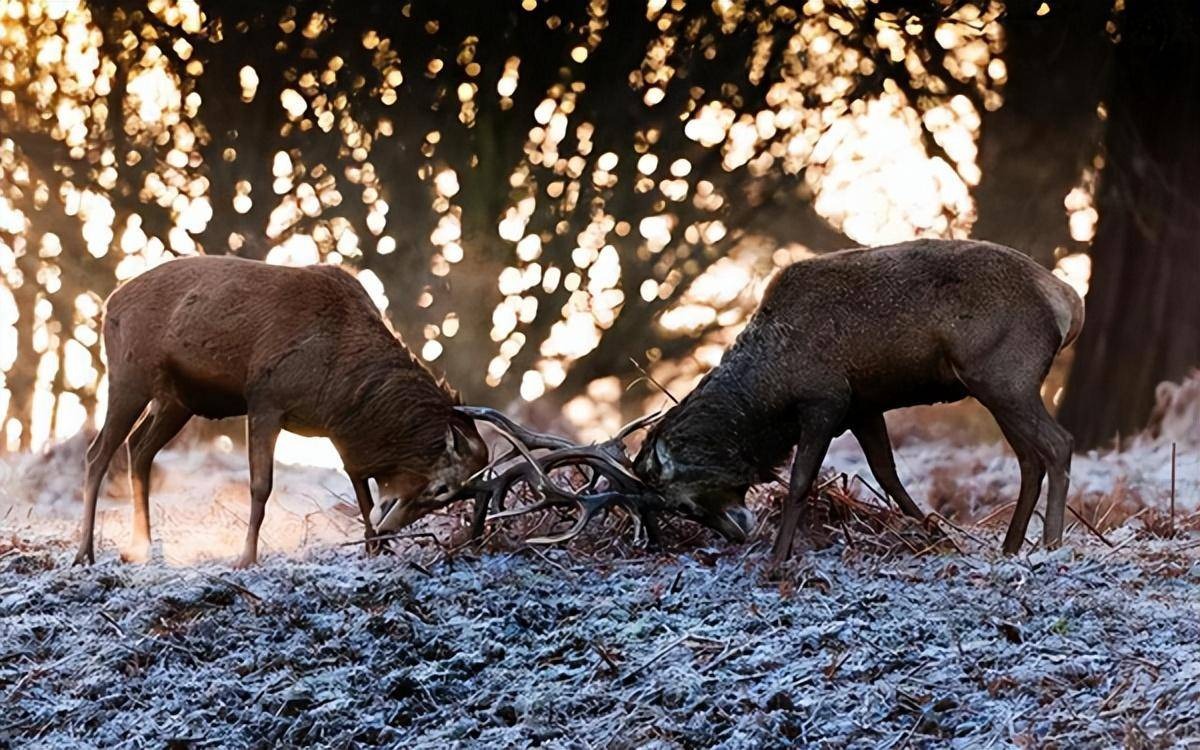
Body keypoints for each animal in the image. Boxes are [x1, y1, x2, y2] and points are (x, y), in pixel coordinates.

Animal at [73, 254, 487, 564]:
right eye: (442, 488)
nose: (389, 529)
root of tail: (109, 303)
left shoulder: (337, 428)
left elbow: (360, 486)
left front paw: (374, 548)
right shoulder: (266, 400)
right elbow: (261, 486)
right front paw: (246, 558)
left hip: (177, 401)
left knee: (139, 448)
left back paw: (140, 547)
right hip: (129, 376)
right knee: (98, 453)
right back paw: (85, 553)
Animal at [628, 240, 1089, 561]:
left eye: (684, 503)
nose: (736, 533)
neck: (771, 389)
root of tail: (1069, 301)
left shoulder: (826, 399)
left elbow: (800, 480)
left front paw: (776, 559)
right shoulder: (863, 408)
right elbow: (887, 474)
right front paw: (936, 535)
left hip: (1005, 378)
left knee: (1058, 444)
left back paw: (1051, 544)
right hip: (999, 389)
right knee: (1029, 460)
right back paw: (1011, 547)